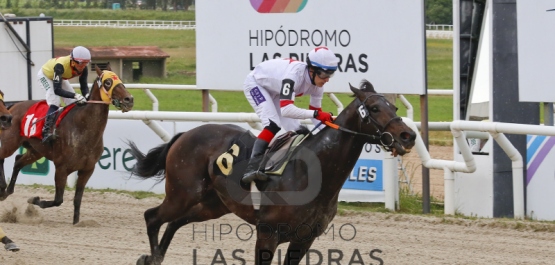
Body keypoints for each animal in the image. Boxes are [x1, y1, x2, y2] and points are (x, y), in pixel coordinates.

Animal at [0, 64, 134, 223]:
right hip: (10, 143)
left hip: (36, 151)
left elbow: (77, 199)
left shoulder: (87, 170)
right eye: (108, 82)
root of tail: (13, 106)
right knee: (3, 158)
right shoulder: (61, 168)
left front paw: (76, 222)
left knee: (18, 161)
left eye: (119, 79)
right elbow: (58, 200)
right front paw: (34, 199)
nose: (129, 99)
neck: (83, 129)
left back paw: (7, 191)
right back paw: (2, 189)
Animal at [129, 79, 416, 262]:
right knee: (152, 217)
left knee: (174, 221)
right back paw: (152, 257)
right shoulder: (268, 234)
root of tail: (186, 134)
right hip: (183, 194)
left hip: (212, 204)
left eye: (395, 107)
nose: (408, 136)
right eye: (375, 108)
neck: (313, 173)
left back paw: (156, 256)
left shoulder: (304, 240)